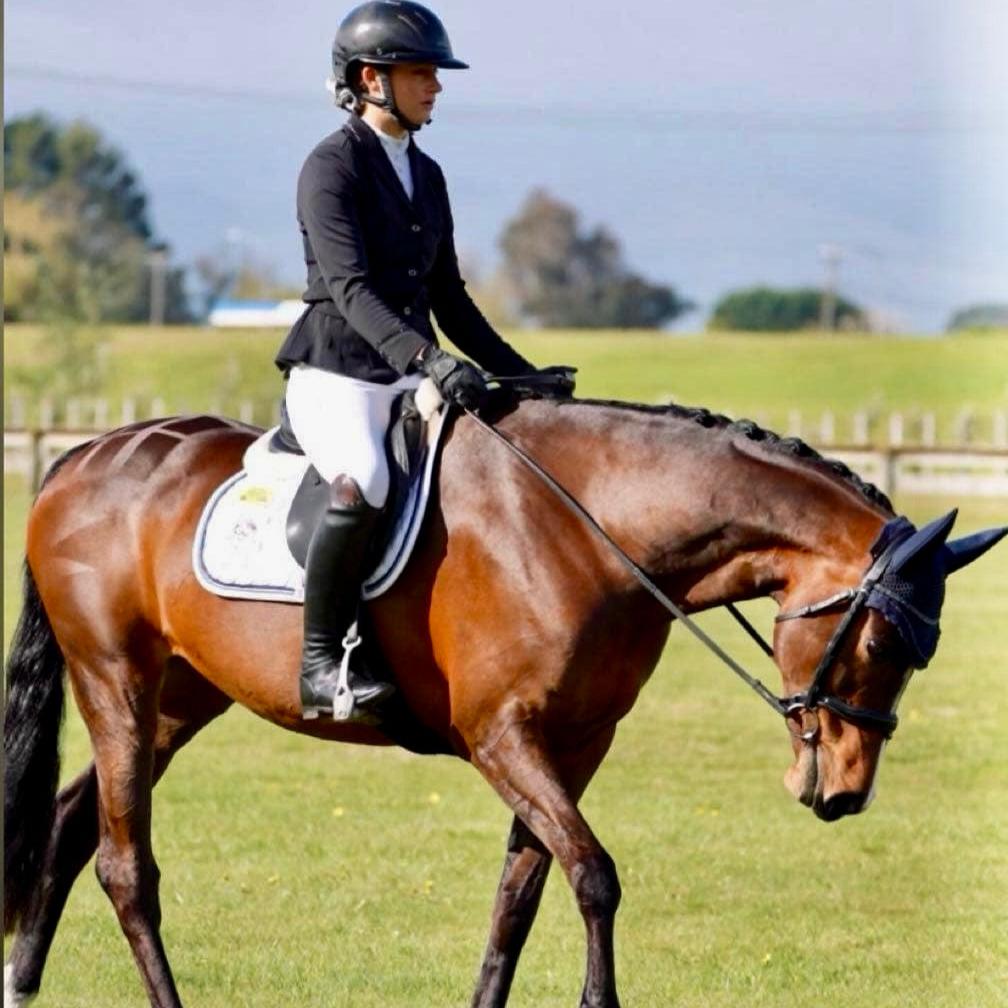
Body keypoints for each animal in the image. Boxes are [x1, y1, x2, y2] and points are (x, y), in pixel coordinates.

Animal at [4, 397, 1004, 1008]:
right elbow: (594, 875)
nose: (842, 793)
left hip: (179, 701)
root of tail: (79, 458)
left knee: (71, 821)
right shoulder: (503, 739)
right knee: (125, 866)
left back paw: (21, 979)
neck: (590, 529)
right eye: (878, 645)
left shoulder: (575, 744)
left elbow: (520, 895)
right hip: (116, 681)